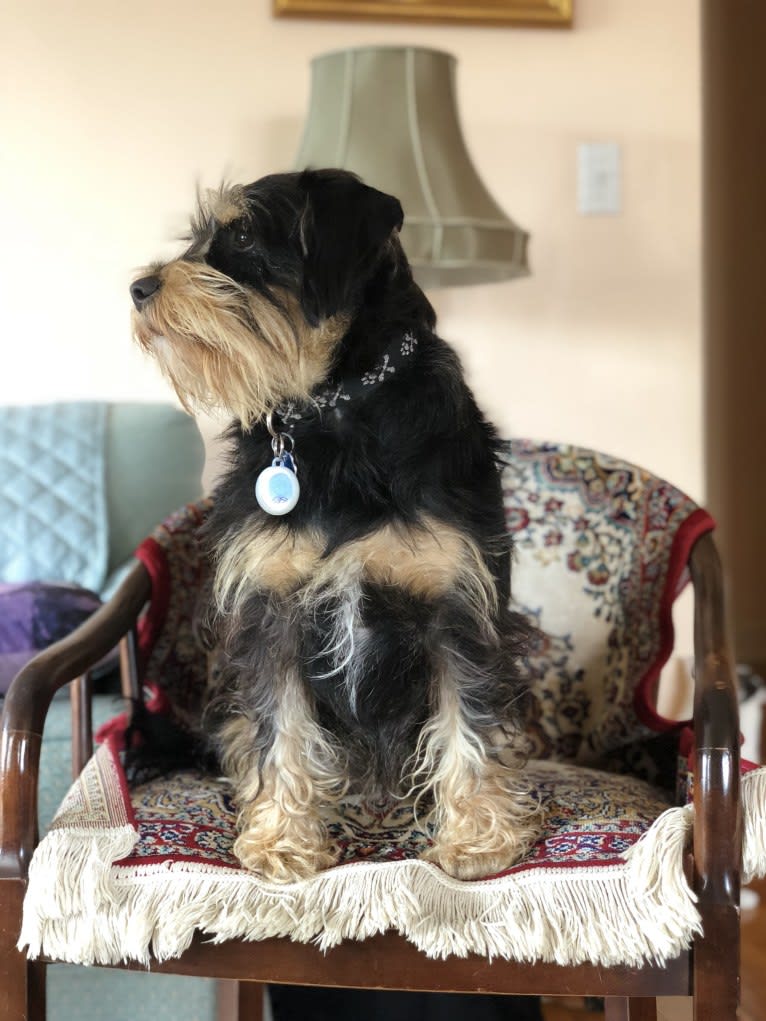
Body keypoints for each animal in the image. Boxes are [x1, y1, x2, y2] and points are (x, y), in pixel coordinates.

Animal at [130, 169, 539, 886]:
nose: (140, 288)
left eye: (242, 234)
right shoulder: (272, 613)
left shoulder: (455, 606)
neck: (336, 411)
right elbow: (281, 731)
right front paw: (280, 839)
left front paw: (478, 838)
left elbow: (469, 717)